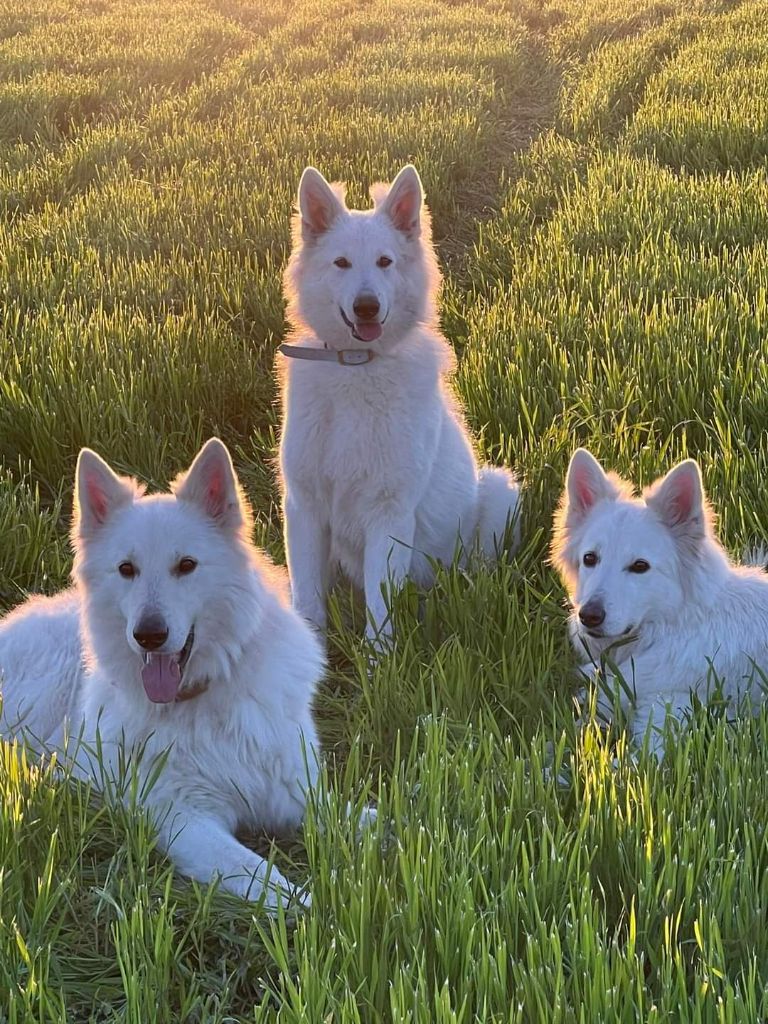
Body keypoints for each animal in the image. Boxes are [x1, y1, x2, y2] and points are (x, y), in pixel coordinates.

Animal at [0, 436, 325, 909]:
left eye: (186, 565)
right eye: (126, 569)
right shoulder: (186, 821)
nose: (149, 635)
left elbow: (367, 821)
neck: (202, 701)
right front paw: (315, 911)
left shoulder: (296, 794)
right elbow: (264, 877)